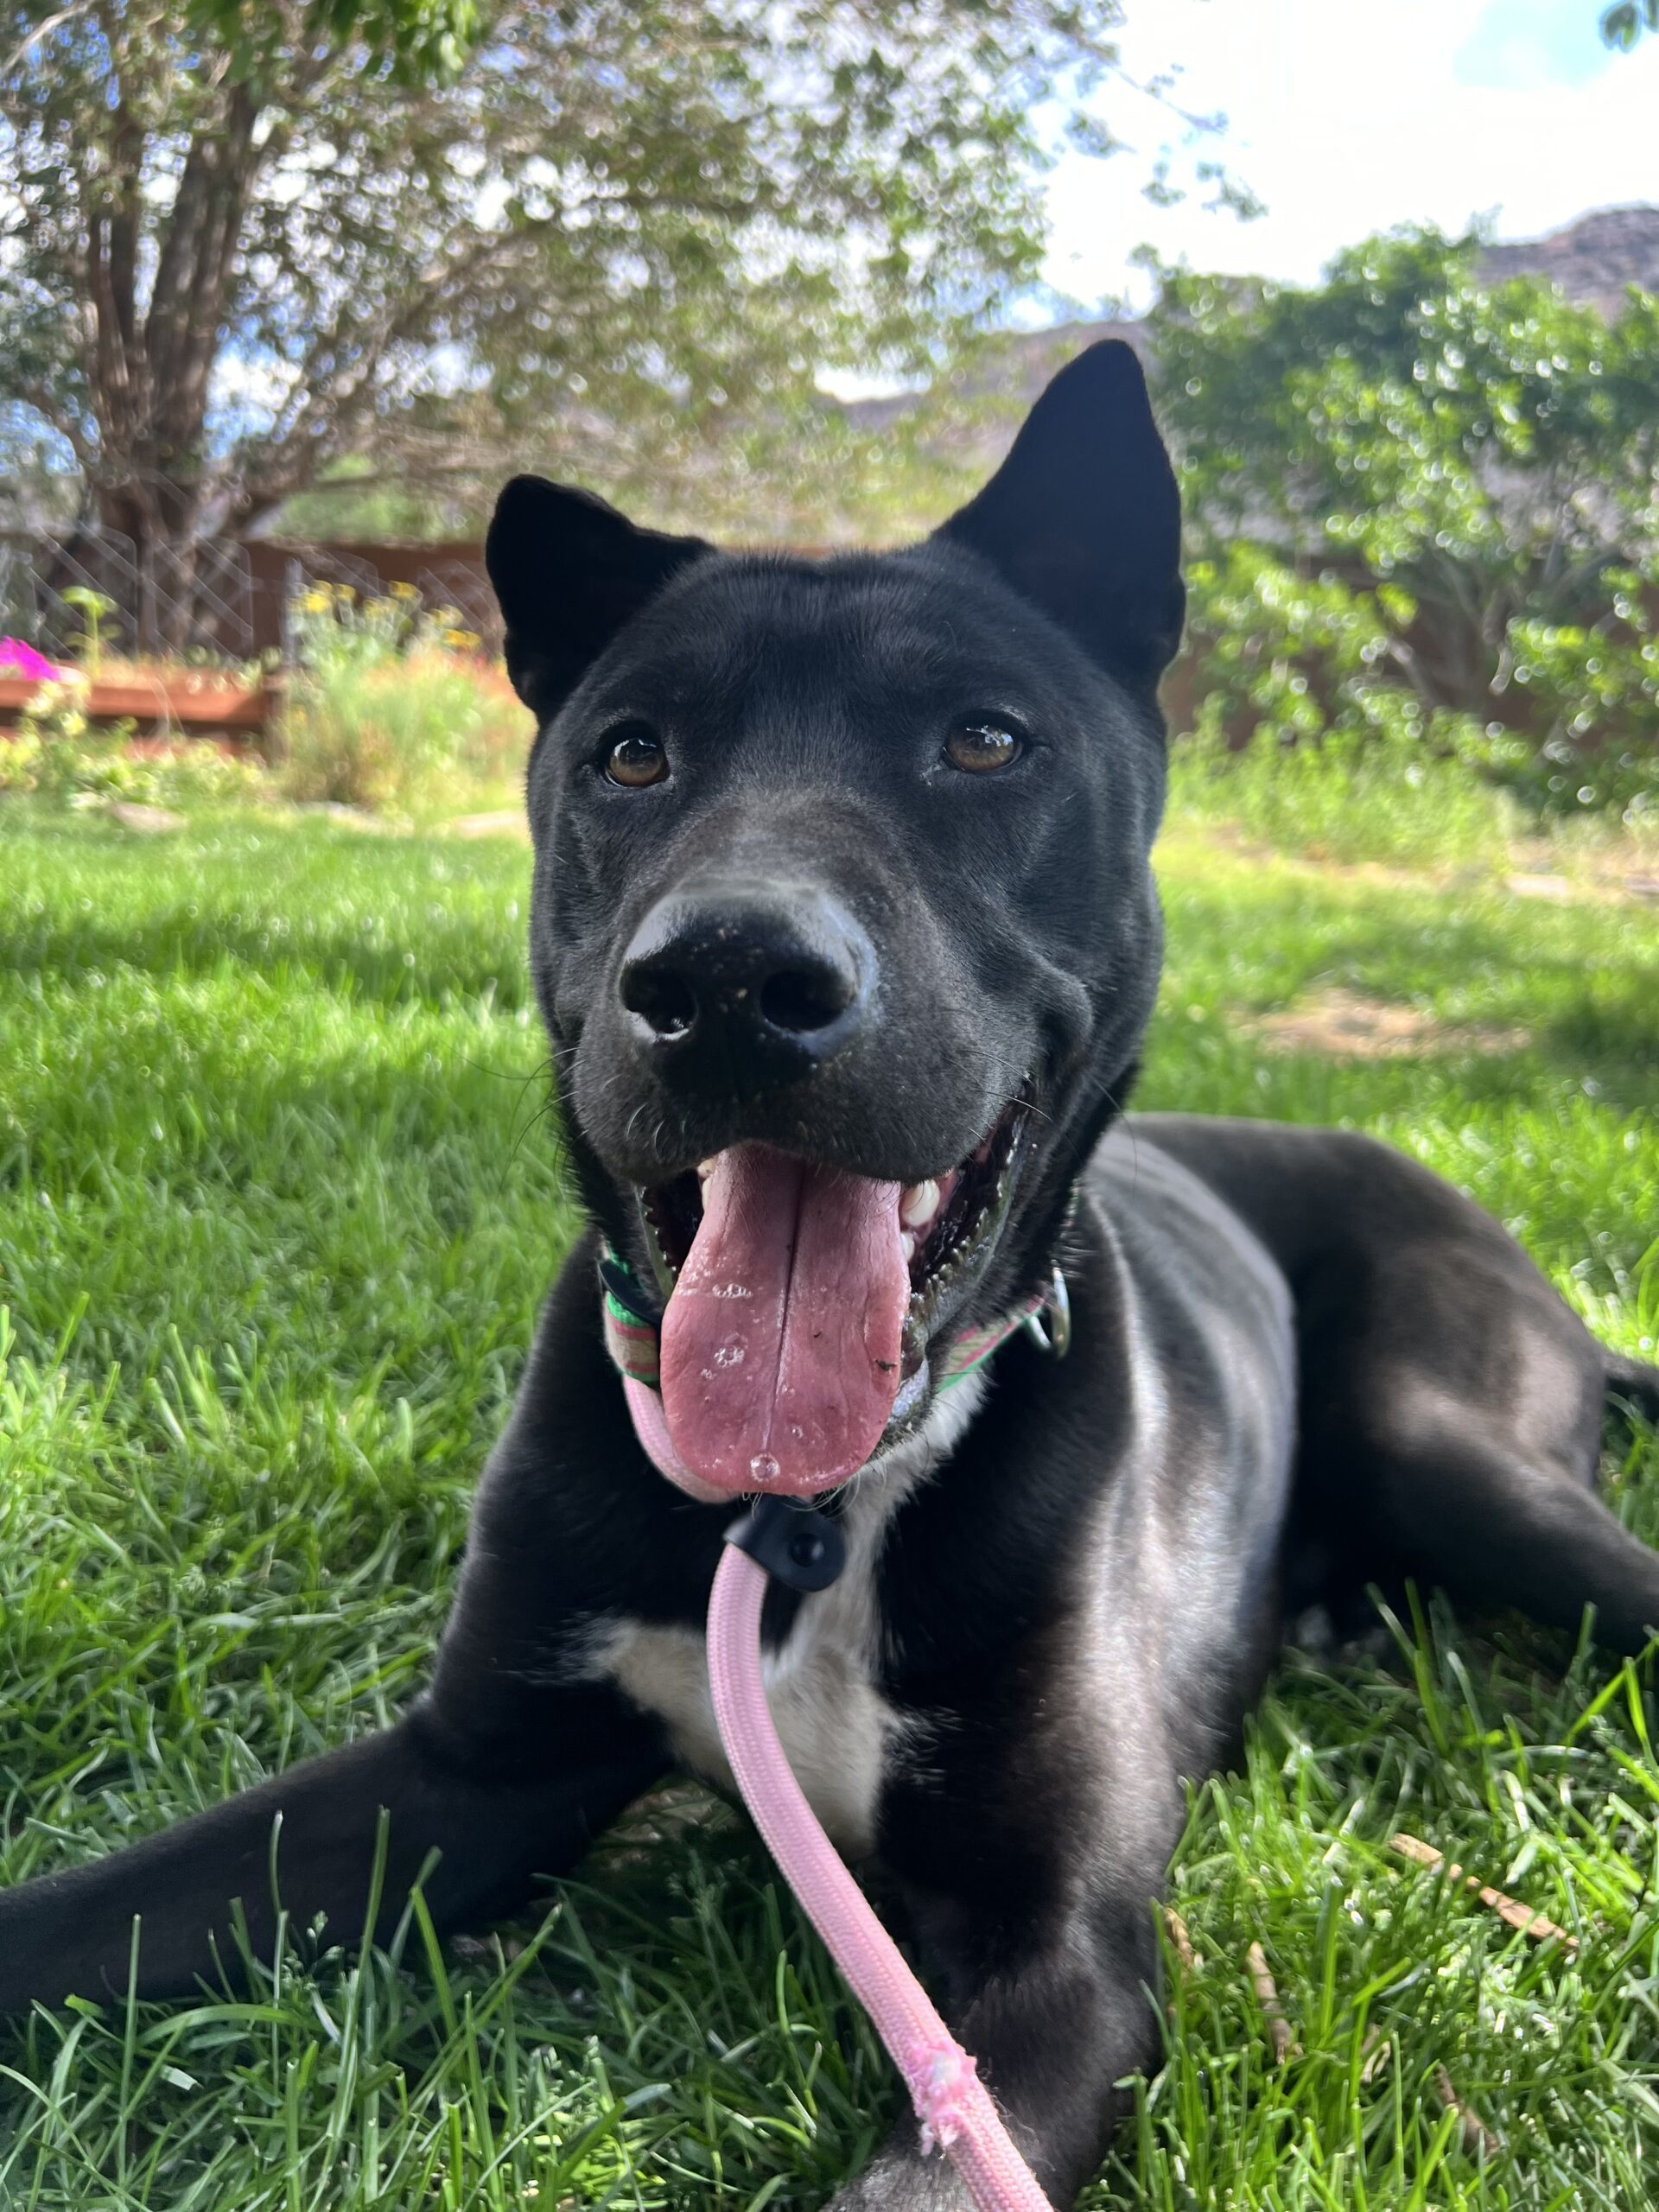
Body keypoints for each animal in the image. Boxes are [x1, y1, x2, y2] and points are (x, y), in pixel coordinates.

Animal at [3, 345, 1659, 2212]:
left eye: (987, 738)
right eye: (632, 752)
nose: (728, 978)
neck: (805, 1511)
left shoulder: (1059, 1953)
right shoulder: (464, 1772)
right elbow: (70, 1920)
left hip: (1445, 1437)